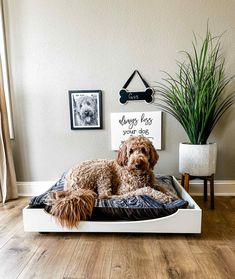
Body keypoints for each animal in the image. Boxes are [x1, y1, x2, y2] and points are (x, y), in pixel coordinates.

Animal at [47, 136, 176, 230]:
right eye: (131, 151)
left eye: (143, 150)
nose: (138, 164)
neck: (139, 175)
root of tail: (68, 184)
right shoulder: (126, 189)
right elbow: (146, 189)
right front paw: (163, 197)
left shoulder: (153, 183)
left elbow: (162, 186)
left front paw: (172, 194)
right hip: (102, 169)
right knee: (105, 195)